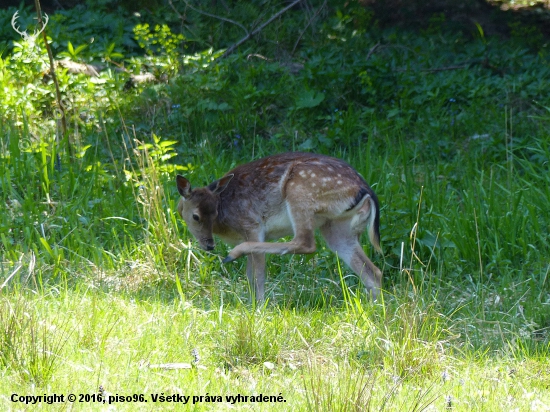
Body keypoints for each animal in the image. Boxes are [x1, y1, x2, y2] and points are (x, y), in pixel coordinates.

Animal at [177, 153, 384, 300]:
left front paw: (259, 308)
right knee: (373, 272)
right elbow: (250, 275)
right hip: (338, 227)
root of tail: (366, 190)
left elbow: (257, 275)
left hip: (300, 192)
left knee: (306, 242)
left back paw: (233, 254)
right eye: (196, 216)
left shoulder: (251, 225)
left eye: (214, 213)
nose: (209, 244)